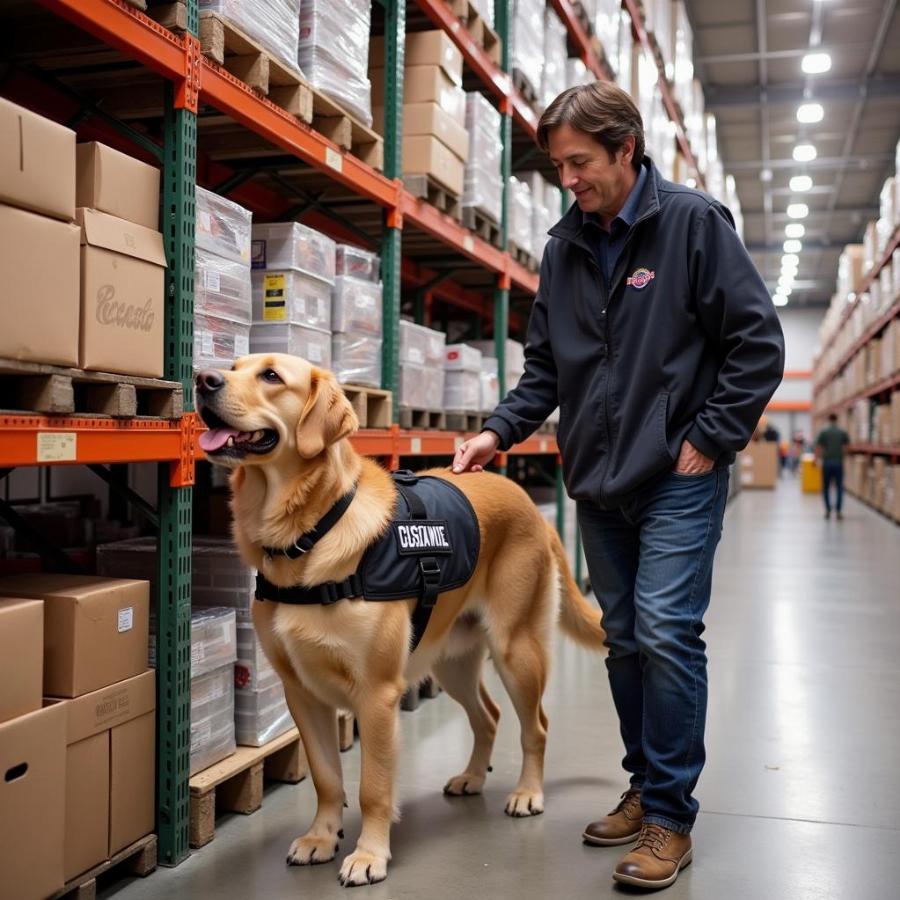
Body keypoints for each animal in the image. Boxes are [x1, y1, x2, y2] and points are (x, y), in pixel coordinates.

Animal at [197, 354, 604, 884]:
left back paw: (527, 792)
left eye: (271, 376)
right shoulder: (301, 693)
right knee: (489, 717)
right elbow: (326, 778)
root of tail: (530, 505)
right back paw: (472, 777)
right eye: (233, 366)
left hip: (516, 651)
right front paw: (321, 837)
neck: (310, 533)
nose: (203, 380)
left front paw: (370, 855)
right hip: (451, 661)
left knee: (536, 724)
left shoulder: (377, 694)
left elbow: (372, 787)